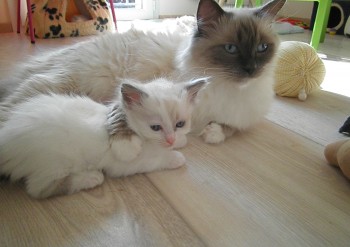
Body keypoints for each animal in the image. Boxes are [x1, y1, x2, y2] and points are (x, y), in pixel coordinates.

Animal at [0, 77, 206, 199]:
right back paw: (91, 178)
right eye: (155, 128)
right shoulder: (123, 164)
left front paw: (179, 142)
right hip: (55, 162)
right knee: (38, 189)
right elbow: (155, 159)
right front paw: (175, 157)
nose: (170, 139)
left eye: (180, 124)